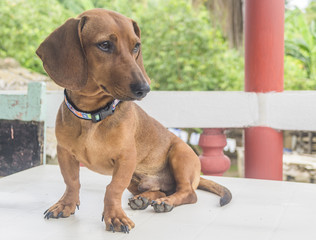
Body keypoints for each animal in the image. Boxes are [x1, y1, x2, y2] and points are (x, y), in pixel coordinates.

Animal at [36, 8, 232, 232]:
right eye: (105, 45)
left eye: (136, 46)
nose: (144, 89)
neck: (93, 115)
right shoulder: (65, 153)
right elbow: (72, 181)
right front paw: (65, 204)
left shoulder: (126, 159)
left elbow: (113, 188)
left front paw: (115, 216)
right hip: (136, 181)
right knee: (161, 189)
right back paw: (144, 199)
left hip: (180, 155)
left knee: (188, 193)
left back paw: (166, 202)